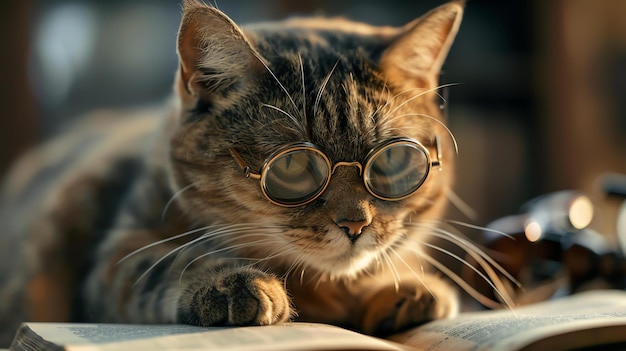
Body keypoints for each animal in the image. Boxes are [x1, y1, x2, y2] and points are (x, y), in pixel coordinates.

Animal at [0, 0, 466, 346]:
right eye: (292, 165)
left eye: (391, 161)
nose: (356, 225)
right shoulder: (116, 256)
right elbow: (172, 262)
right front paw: (233, 284)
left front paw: (401, 286)